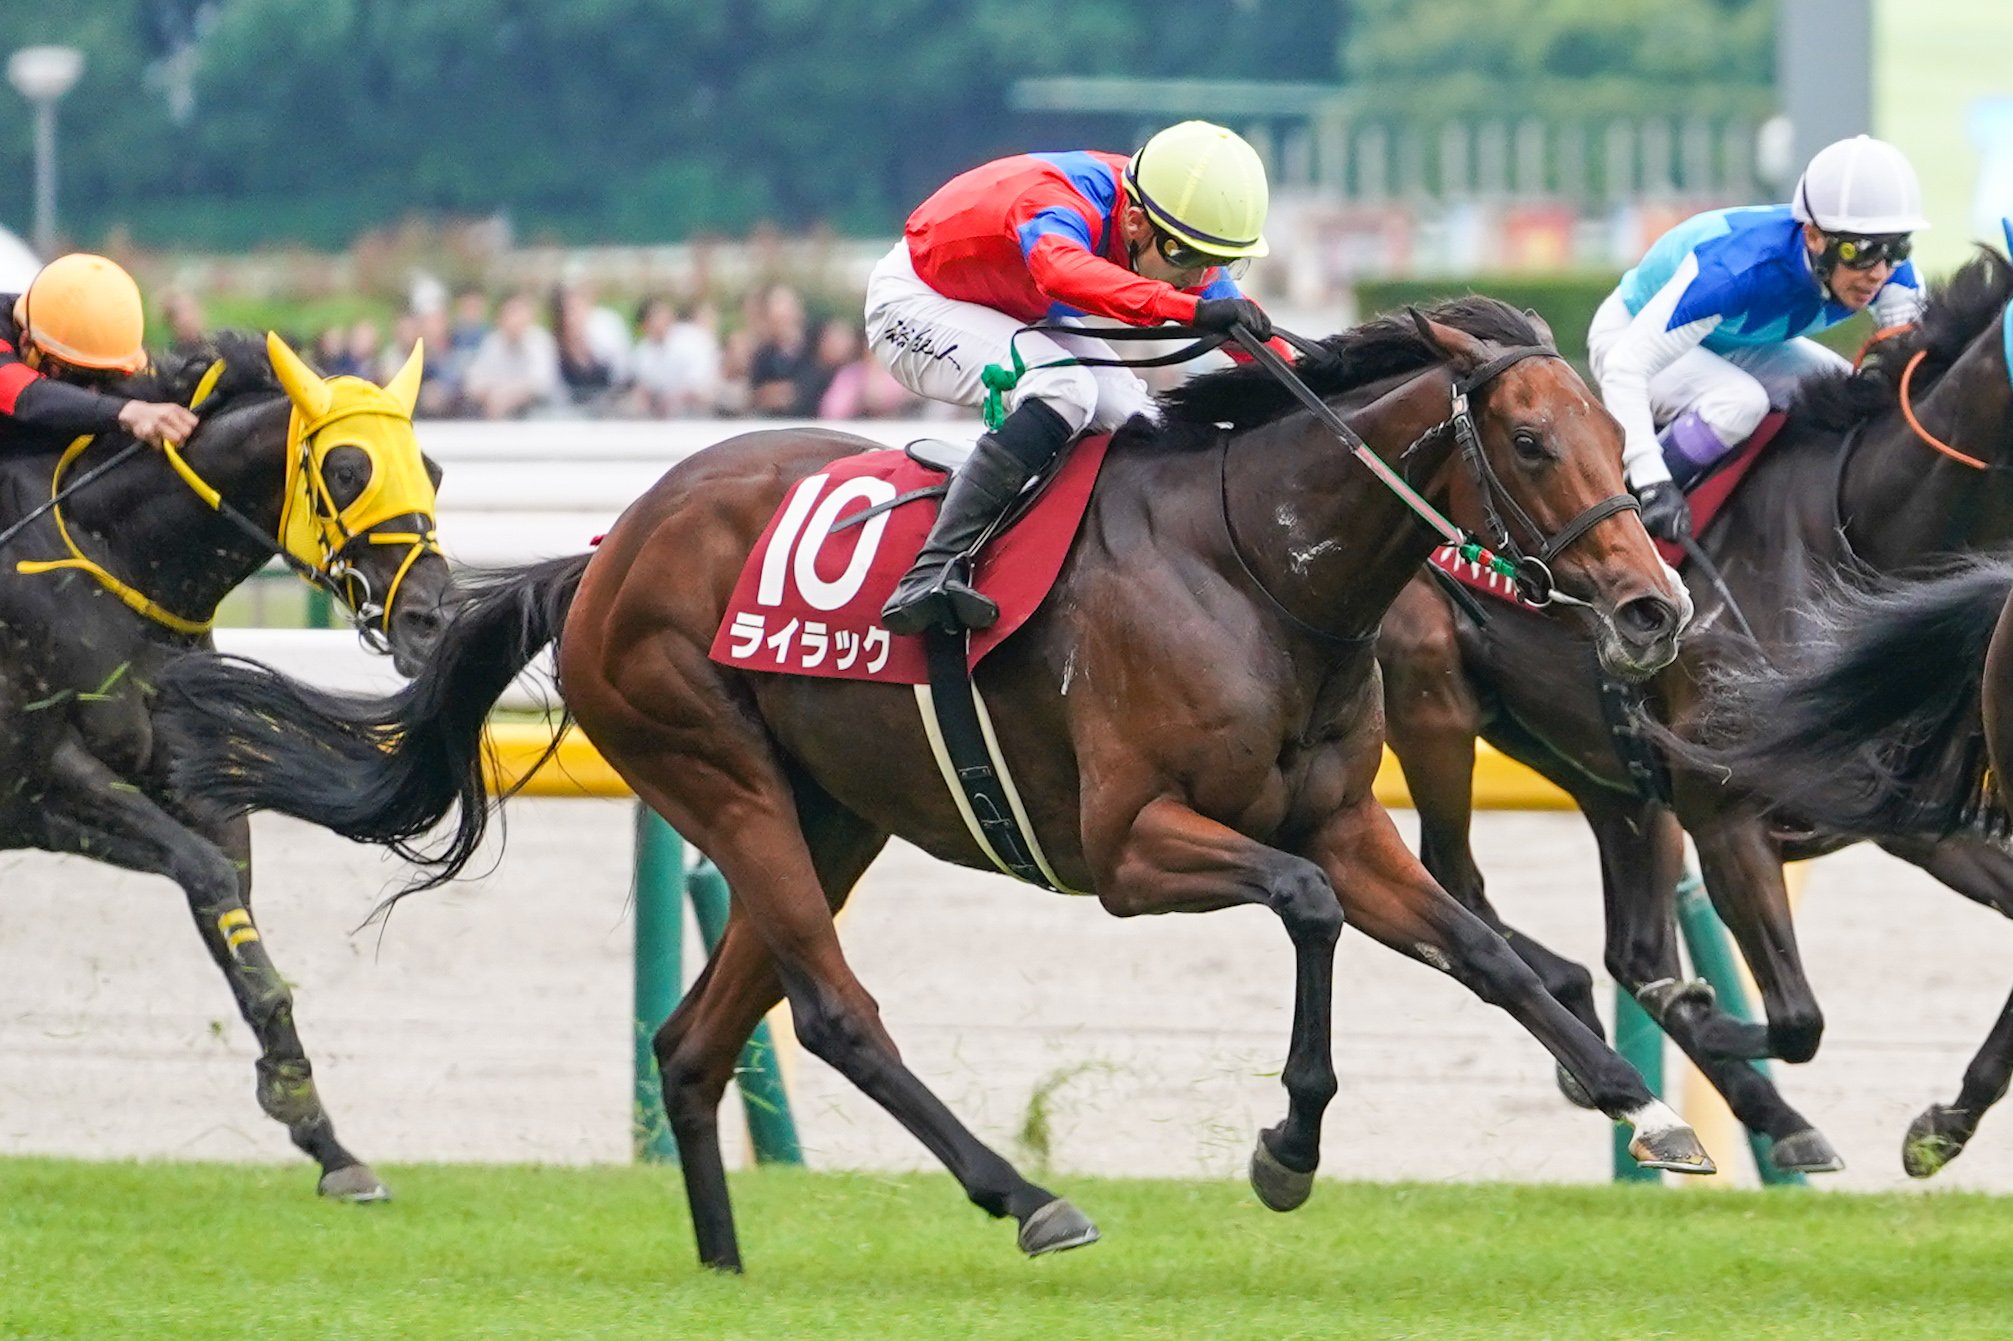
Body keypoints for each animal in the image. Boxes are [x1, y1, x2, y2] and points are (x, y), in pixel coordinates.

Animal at [0, 330, 451, 1200]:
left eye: (433, 468)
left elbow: (230, 906)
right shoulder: (38, 786)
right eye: (347, 470)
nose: (433, 621)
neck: (108, 553)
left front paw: (324, 1135)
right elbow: (207, 875)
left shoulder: (183, 775)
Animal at [153, 298, 1703, 1271]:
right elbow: (1311, 911)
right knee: (832, 1013)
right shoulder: (1133, 850)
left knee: (697, 1039)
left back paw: (724, 1271)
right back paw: (1026, 1197)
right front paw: (1287, 1144)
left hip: (831, 812)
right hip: (713, 768)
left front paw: (1639, 1099)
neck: (1255, 562)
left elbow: (1481, 951)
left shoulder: (1339, 816)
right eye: (1530, 442)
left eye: (1618, 439)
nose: (1652, 609)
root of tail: (603, 549)